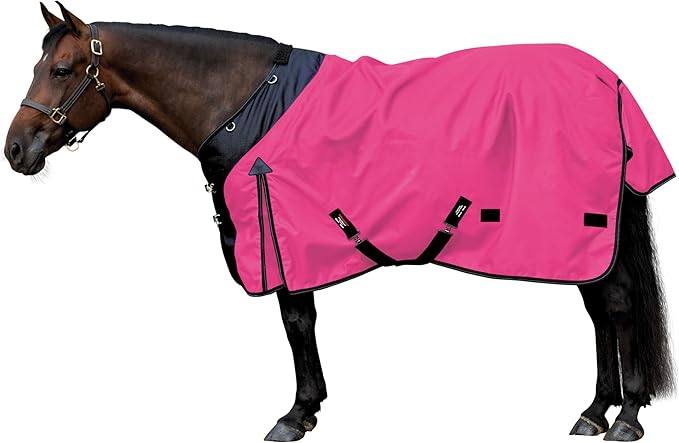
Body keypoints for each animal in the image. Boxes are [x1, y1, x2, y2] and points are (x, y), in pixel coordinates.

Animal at [3, 3, 675, 441]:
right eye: (37, 66)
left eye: (61, 70)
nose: (16, 150)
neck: (248, 102)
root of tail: (609, 79)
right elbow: (301, 326)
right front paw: (310, 408)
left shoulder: (285, 235)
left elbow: (297, 324)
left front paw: (296, 414)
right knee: (598, 310)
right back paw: (594, 410)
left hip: (586, 229)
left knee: (616, 306)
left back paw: (625, 417)